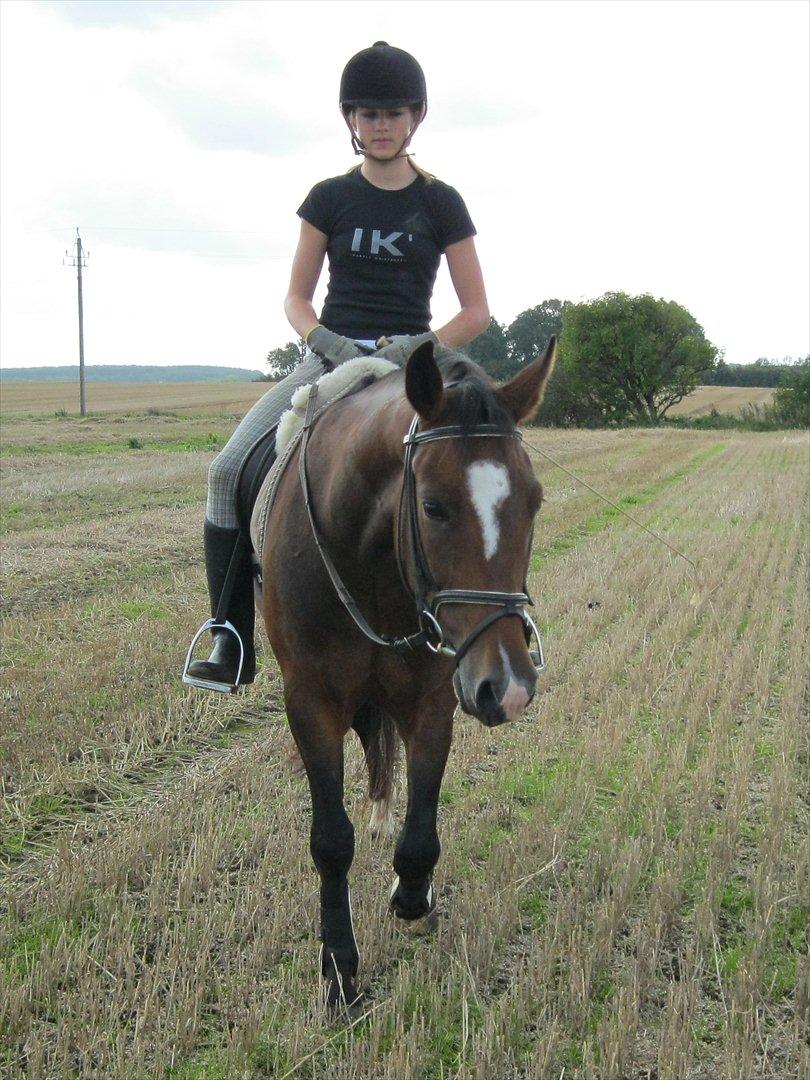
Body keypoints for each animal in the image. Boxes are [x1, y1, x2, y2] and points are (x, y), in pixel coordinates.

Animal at [263, 339, 557, 1010]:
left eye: (534, 501)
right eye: (433, 506)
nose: (510, 687)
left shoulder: (434, 697)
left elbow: (423, 823)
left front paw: (412, 894)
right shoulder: (310, 704)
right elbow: (331, 840)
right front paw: (339, 967)